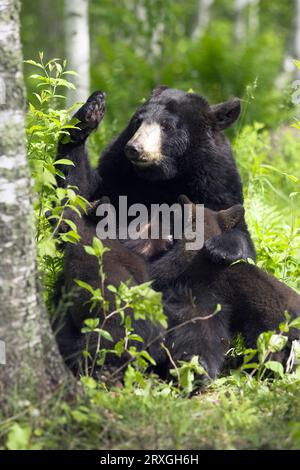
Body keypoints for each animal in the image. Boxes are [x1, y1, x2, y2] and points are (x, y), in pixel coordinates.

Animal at [56, 86, 255, 268]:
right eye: (138, 122)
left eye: (167, 126)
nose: (134, 148)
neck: (163, 178)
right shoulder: (118, 171)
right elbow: (80, 194)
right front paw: (90, 110)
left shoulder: (216, 182)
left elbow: (236, 226)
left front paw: (222, 248)